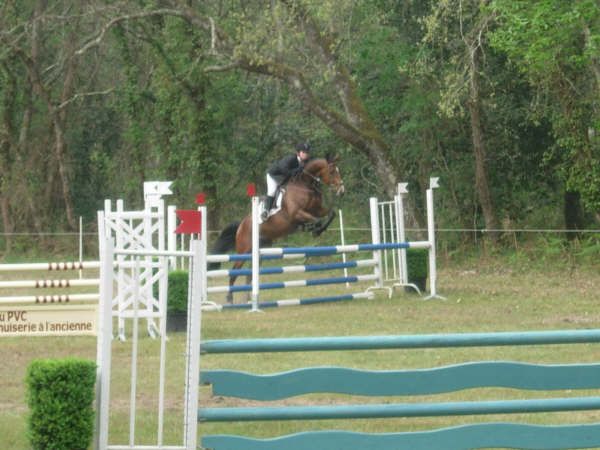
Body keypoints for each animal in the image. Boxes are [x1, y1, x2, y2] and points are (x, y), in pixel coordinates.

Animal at [209, 155, 345, 303]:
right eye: (332, 171)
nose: (341, 190)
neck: (304, 185)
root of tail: (241, 225)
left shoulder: (318, 210)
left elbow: (331, 214)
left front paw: (318, 230)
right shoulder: (296, 213)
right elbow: (316, 220)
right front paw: (314, 230)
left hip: (258, 252)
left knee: (249, 274)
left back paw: (249, 300)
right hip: (243, 251)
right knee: (234, 273)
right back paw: (230, 299)